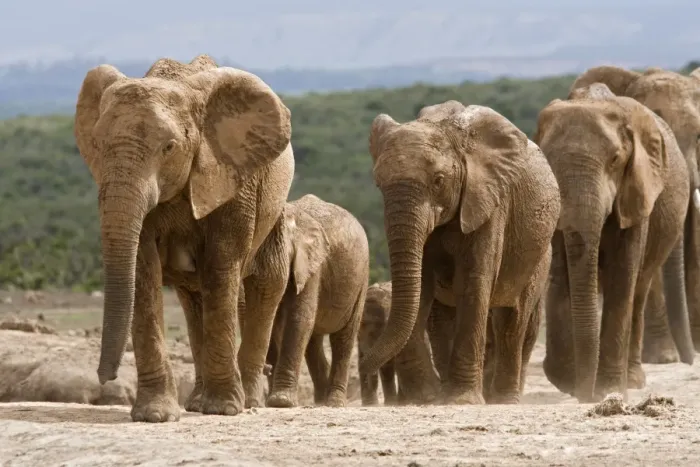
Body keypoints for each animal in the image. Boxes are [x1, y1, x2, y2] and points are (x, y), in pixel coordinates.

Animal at [73, 54, 294, 422]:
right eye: (98, 145)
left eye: (169, 147)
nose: (106, 378)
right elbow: (142, 269)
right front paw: (154, 416)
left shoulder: (233, 178)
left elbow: (221, 266)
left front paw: (223, 410)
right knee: (194, 300)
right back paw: (197, 403)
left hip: (275, 212)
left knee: (265, 286)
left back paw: (247, 402)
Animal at [243, 194, 370, 408]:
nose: (267, 368)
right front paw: (273, 401)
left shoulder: (312, 266)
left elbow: (299, 319)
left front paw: (281, 402)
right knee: (314, 342)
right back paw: (320, 401)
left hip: (361, 280)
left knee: (343, 338)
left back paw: (333, 403)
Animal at [358, 100, 561, 405]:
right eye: (379, 184)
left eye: (439, 180)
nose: (364, 365)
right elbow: (423, 286)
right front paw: (427, 398)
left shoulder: (489, 201)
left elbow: (472, 282)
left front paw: (460, 400)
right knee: (443, 319)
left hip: (539, 254)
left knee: (512, 320)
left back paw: (502, 399)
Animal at [534, 83, 691, 402]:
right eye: (548, 161)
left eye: (615, 160)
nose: (585, 395)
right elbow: (560, 274)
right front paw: (569, 381)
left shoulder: (637, 189)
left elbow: (622, 276)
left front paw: (606, 391)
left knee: (638, 291)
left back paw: (632, 380)